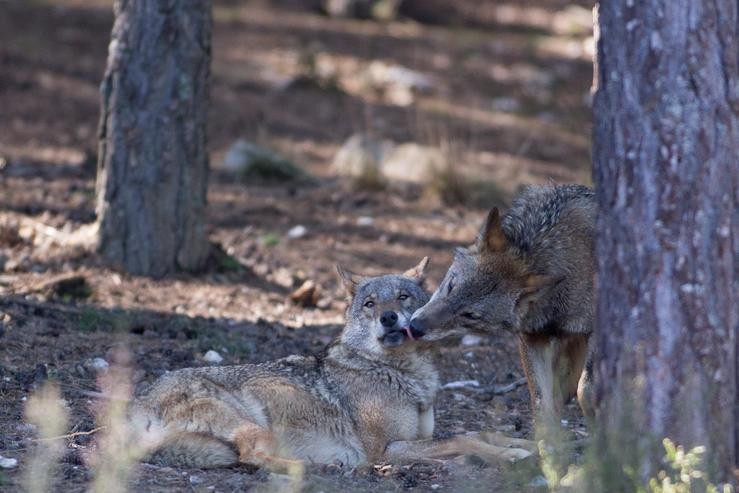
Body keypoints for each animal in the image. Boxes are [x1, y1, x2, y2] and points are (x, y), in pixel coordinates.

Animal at [130, 258, 536, 468]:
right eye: (370, 303)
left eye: (402, 297)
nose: (389, 317)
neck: (400, 373)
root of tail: (139, 401)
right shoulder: (384, 451)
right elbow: (465, 439)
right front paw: (511, 454)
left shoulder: (418, 438)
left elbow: (479, 434)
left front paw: (527, 444)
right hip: (250, 421)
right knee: (251, 454)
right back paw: (309, 468)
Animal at [408, 184, 600, 422]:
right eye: (451, 286)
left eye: (470, 315)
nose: (414, 327)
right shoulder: (532, 337)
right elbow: (542, 403)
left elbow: (586, 393)